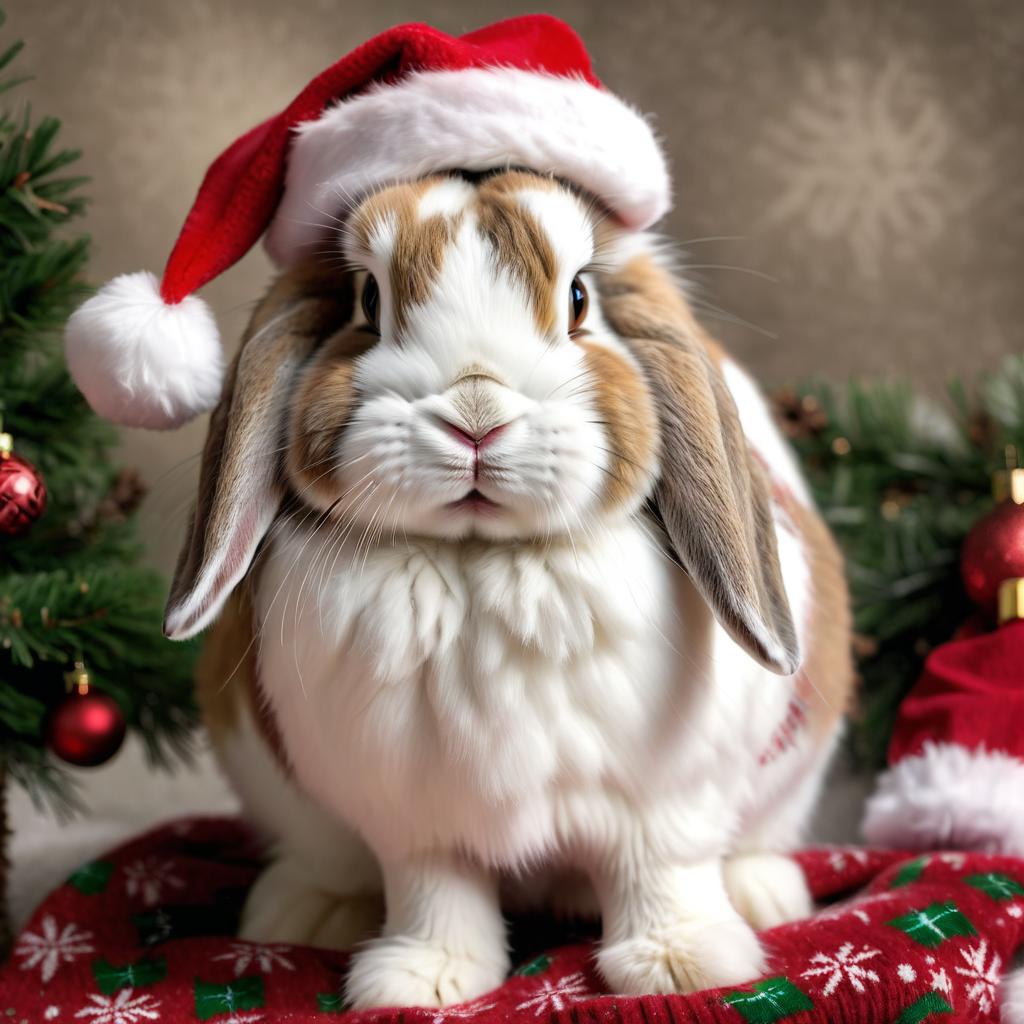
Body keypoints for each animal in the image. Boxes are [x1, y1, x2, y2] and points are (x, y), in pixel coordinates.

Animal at [165, 167, 856, 1007]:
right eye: (368, 300)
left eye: (581, 298)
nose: (476, 414)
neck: (484, 561)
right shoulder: (414, 813)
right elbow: (435, 889)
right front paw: (424, 979)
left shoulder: (666, 799)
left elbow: (664, 869)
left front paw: (683, 964)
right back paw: (305, 913)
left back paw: (763, 894)